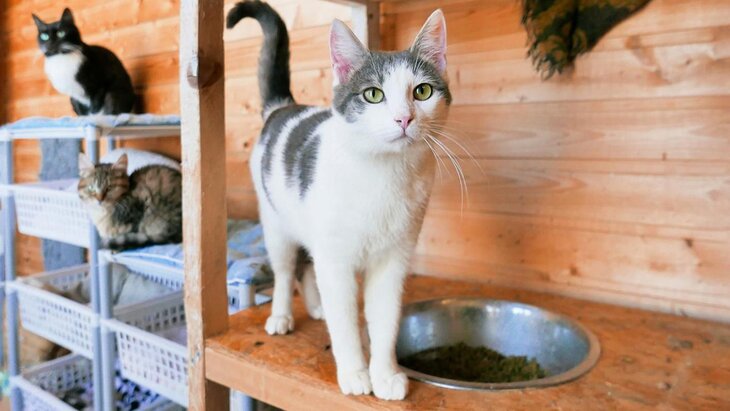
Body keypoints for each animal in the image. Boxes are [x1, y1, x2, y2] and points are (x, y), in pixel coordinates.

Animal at [227, 1, 450, 400]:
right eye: (373, 95)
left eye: (422, 92)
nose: (404, 119)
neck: (384, 176)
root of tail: (283, 107)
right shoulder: (336, 261)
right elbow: (344, 319)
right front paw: (355, 373)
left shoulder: (393, 261)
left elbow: (385, 319)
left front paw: (385, 374)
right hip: (277, 226)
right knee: (286, 272)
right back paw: (282, 315)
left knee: (306, 267)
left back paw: (316, 306)